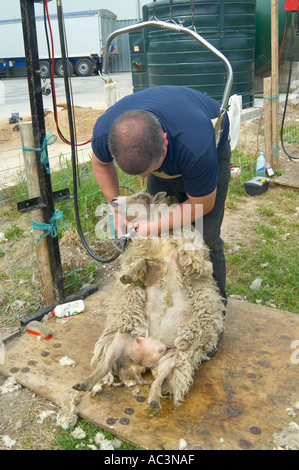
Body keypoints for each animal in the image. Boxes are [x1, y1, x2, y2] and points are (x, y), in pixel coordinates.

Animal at [74, 190, 225, 408]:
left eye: (141, 196)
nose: (113, 200)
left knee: (159, 380)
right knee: (104, 366)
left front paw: (129, 275)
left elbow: (162, 259)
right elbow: (143, 261)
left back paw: (153, 401)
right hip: (119, 341)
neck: (160, 241)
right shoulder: (153, 270)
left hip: (174, 357)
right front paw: (128, 276)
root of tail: (142, 362)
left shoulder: (182, 264)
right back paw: (85, 383)